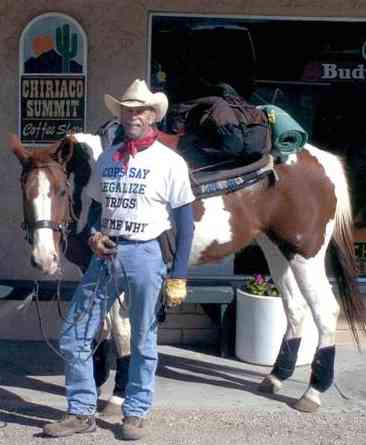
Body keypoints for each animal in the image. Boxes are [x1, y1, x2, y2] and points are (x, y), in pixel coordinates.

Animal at [7, 128, 366, 412]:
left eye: (61, 191)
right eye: (24, 191)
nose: (43, 258)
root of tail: (321, 161)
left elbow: (120, 332)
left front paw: (117, 396)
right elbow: (101, 328)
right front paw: (97, 383)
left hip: (307, 253)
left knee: (324, 310)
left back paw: (313, 392)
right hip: (277, 248)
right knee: (295, 307)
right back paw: (275, 377)